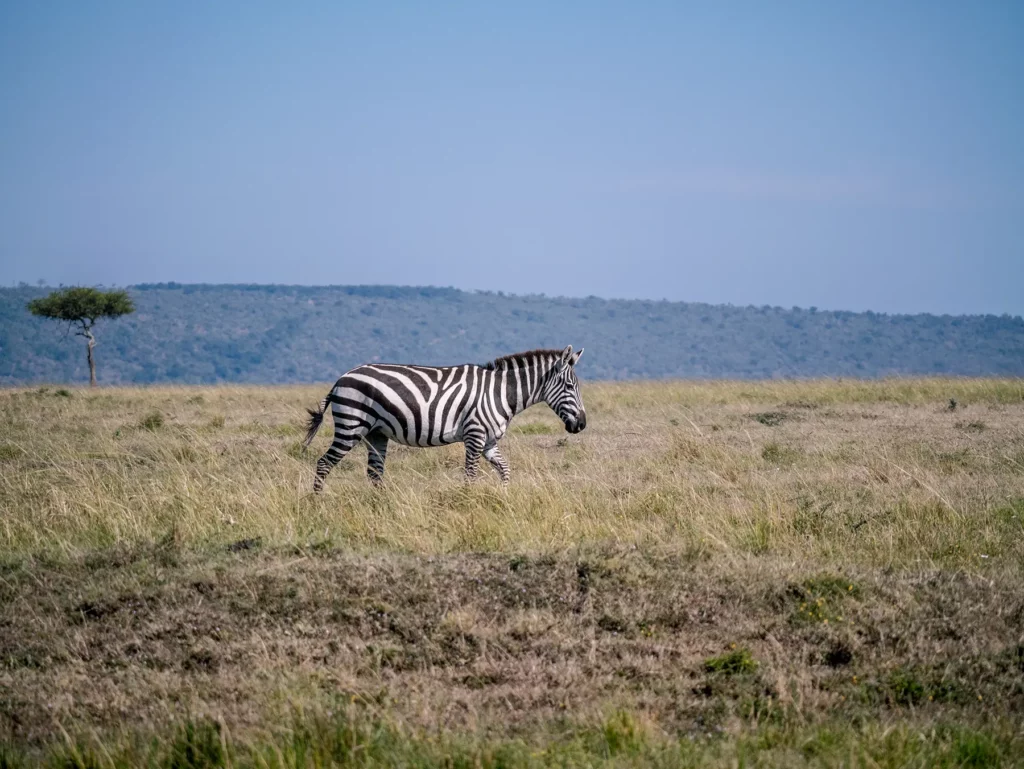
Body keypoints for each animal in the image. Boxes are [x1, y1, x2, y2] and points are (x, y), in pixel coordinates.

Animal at [302, 345, 587, 491]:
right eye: (570, 386)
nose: (582, 424)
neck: (499, 393)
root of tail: (341, 378)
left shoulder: (489, 442)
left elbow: (505, 470)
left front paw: (505, 499)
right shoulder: (475, 435)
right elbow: (470, 475)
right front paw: (469, 506)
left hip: (376, 433)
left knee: (374, 473)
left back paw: (380, 508)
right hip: (351, 426)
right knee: (324, 464)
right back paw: (317, 504)